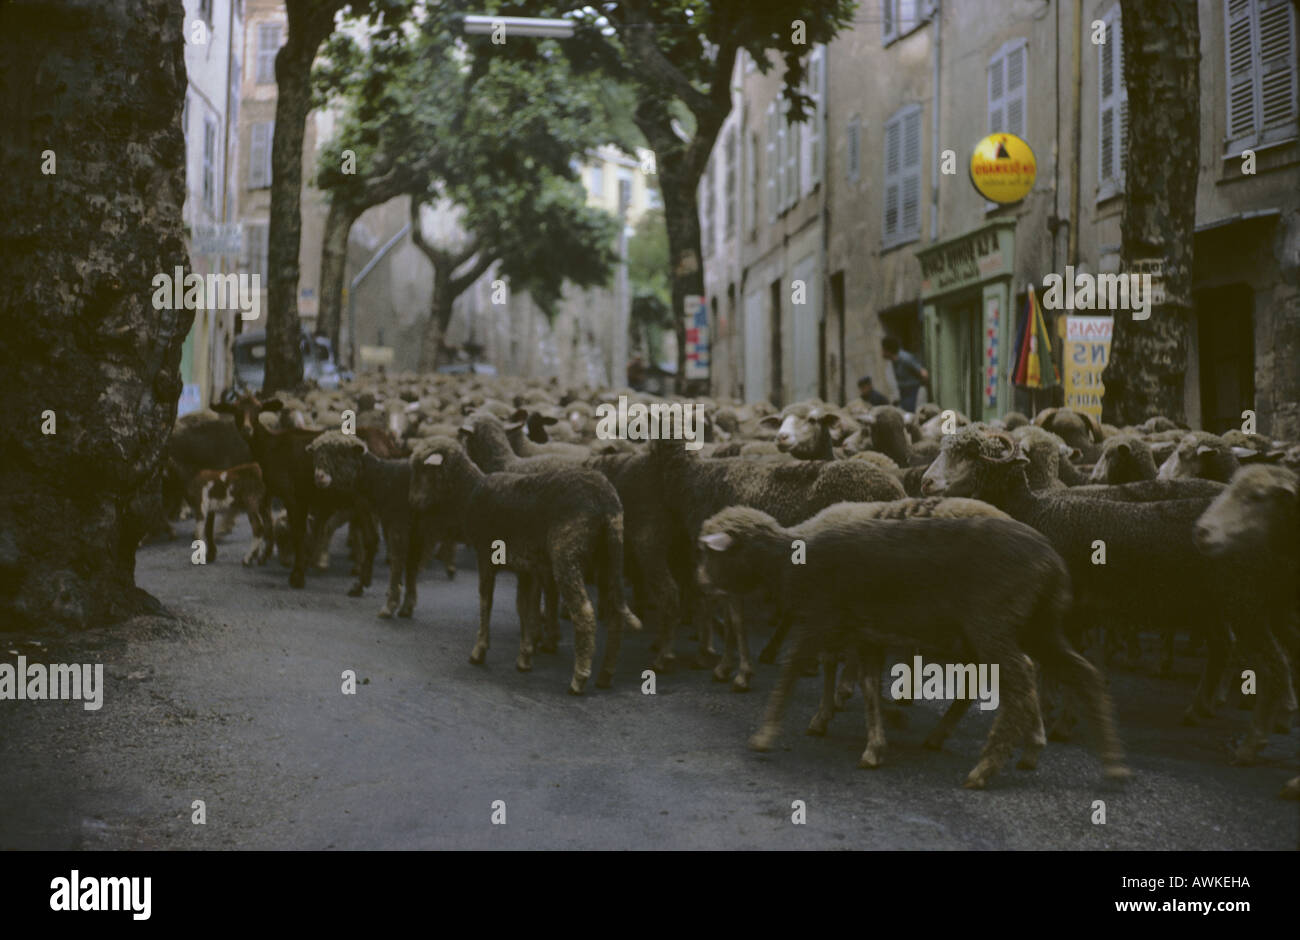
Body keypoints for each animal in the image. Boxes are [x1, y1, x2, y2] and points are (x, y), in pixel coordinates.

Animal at [408, 436, 642, 696]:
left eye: (420, 469)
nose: (412, 503)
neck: (470, 492)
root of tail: (606, 500)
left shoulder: (486, 555)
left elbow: (486, 601)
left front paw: (479, 651)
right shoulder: (525, 568)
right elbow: (524, 608)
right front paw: (525, 657)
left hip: (567, 553)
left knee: (584, 612)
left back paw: (579, 679)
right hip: (610, 555)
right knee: (616, 613)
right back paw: (605, 675)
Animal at [702, 507, 1128, 785]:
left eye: (709, 554)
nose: (702, 582)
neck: (786, 561)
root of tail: (1053, 561)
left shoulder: (821, 619)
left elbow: (792, 670)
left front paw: (764, 735)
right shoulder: (866, 634)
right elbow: (869, 687)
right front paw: (875, 747)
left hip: (994, 622)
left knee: (1022, 676)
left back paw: (985, 768)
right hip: (1041, 625)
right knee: (1083, 674)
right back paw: (1109, 763)